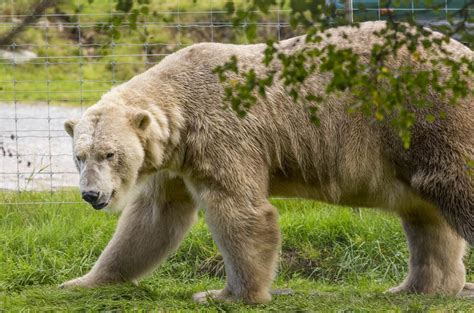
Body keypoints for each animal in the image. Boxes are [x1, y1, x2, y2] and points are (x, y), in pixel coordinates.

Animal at [62, 21, 470, 302]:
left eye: (109, 154)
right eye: (79, 156)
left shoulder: (223, 136)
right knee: (425, 216)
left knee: (454, 187)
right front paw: (82, 281)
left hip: (427, 112)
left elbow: (240, 212)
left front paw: (226, 295)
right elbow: (151, 220)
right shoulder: (176, 161)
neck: (182, 105)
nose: (91, 194)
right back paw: (416, 287)